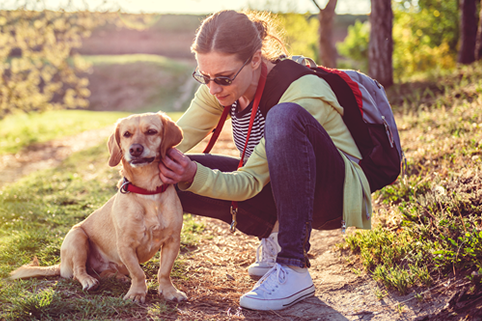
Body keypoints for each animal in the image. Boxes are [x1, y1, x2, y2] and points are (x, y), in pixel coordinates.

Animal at [9, 111, 186, 302]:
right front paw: (137, 293)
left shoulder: (172, 241)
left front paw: (169, 291)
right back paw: (89, 281)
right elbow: (138, 273)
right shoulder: (125, 245)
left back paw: (117, 277)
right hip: (77, 237)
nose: (135, 149)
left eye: (151, 131)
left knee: (105, 272)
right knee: (78, 272)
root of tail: (61, 265)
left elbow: (164, 272)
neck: (147, 191)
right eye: (126, 134)